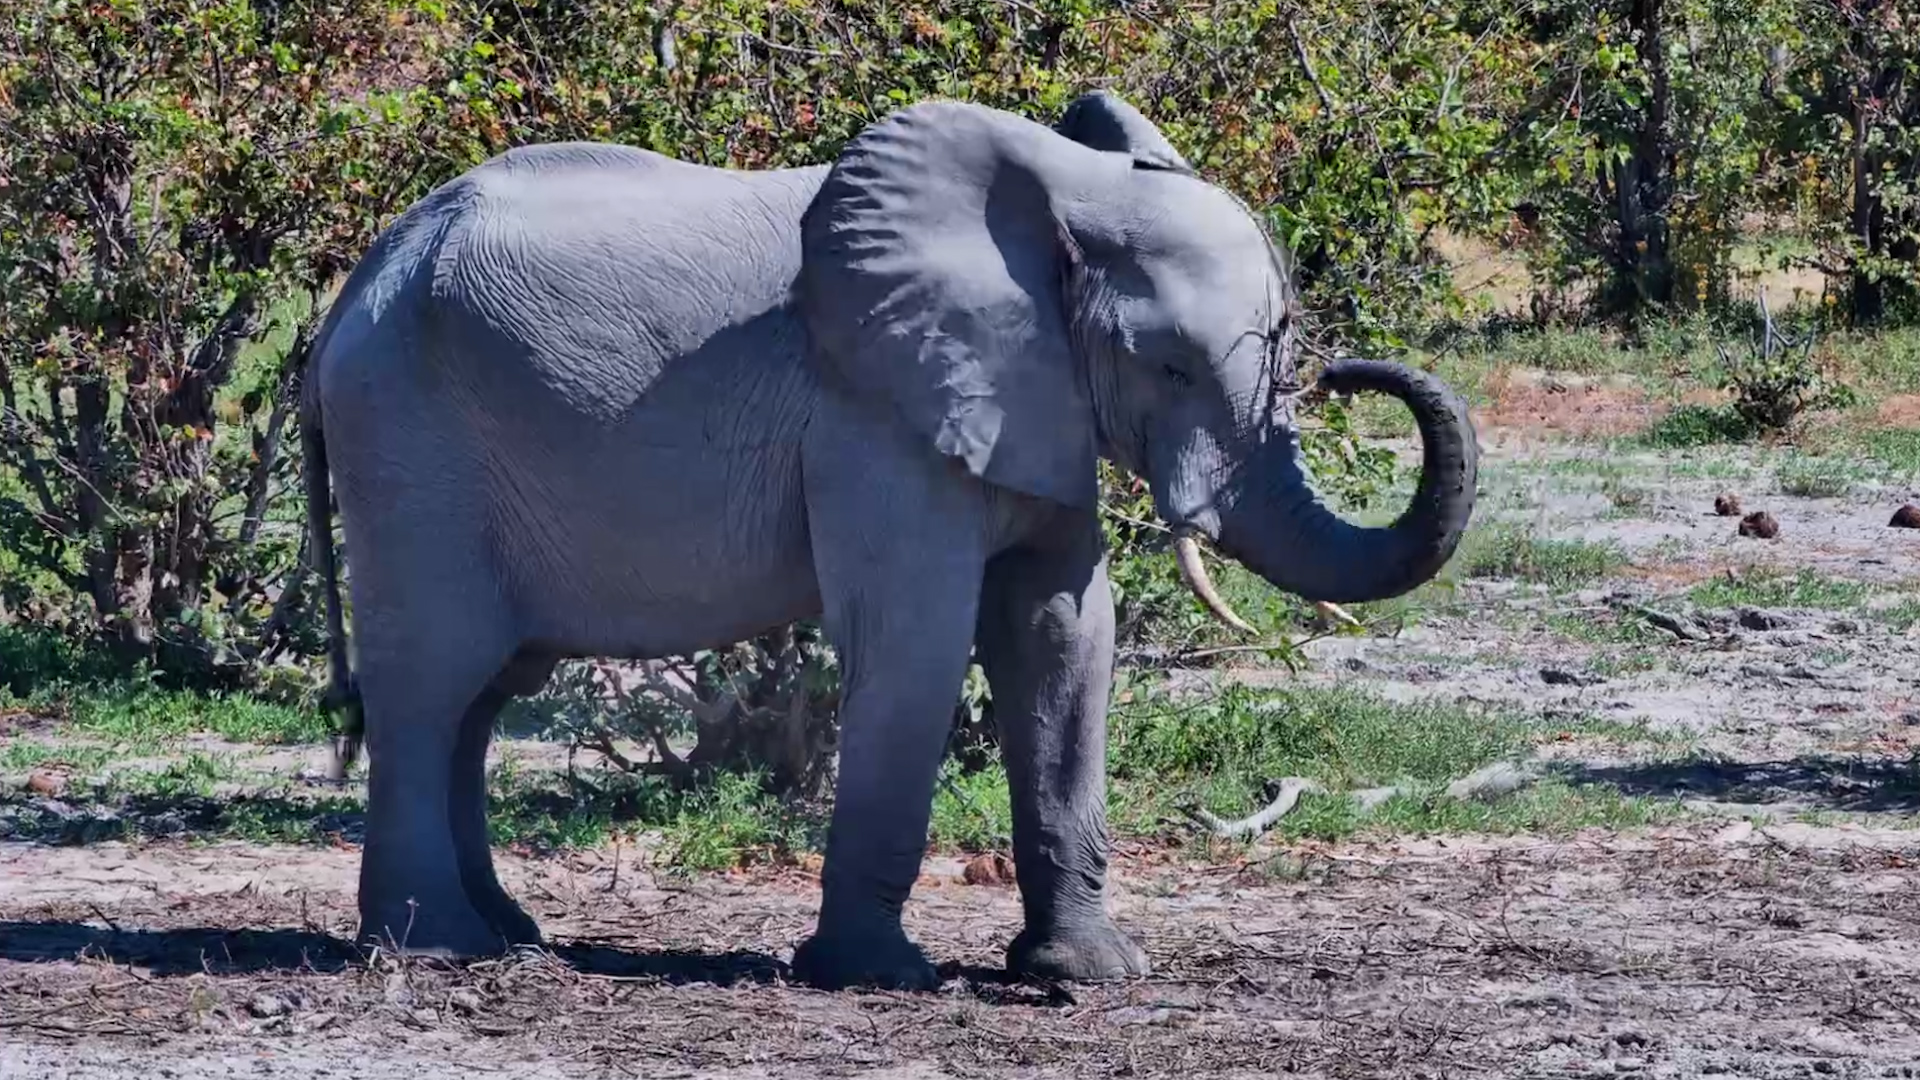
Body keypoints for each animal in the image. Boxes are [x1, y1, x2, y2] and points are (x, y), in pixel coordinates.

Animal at [298, 90, 1478, 991]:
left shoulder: (1032, 402)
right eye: (1174, 367)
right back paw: (438, 947)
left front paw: (1089, 975)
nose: (1348, 369)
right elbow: (917, 640)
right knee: (433, 683)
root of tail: (356, 286)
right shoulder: (875, 415)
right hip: (411, 441)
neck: (1063, 195)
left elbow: (1063, 636)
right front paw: (877, 975)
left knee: (484, 693)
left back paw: (509, 934)